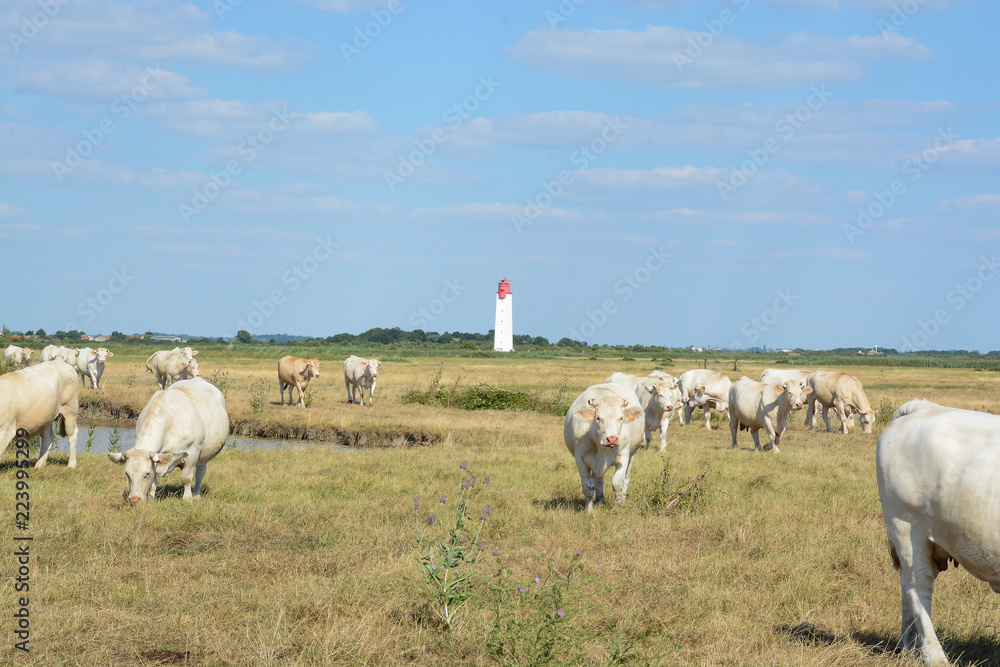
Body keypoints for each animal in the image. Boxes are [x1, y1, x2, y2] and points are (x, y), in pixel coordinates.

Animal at [563, 383, 645, 512]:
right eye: (598, 417)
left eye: (621, 417)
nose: (612, 439)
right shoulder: (580, 459)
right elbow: (588, 486)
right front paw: (589, 510)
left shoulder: (623, 456)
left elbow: (618, 483)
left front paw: (617, 508)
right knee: (598, 480)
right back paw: (600, 500)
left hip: (633, 454)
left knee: (626, 479)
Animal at [877, 400, 1000, 666]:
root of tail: (922, 407)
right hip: (906, 524)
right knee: (918, 586)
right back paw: (935, 657)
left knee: (906, 584)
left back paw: (910, 647)